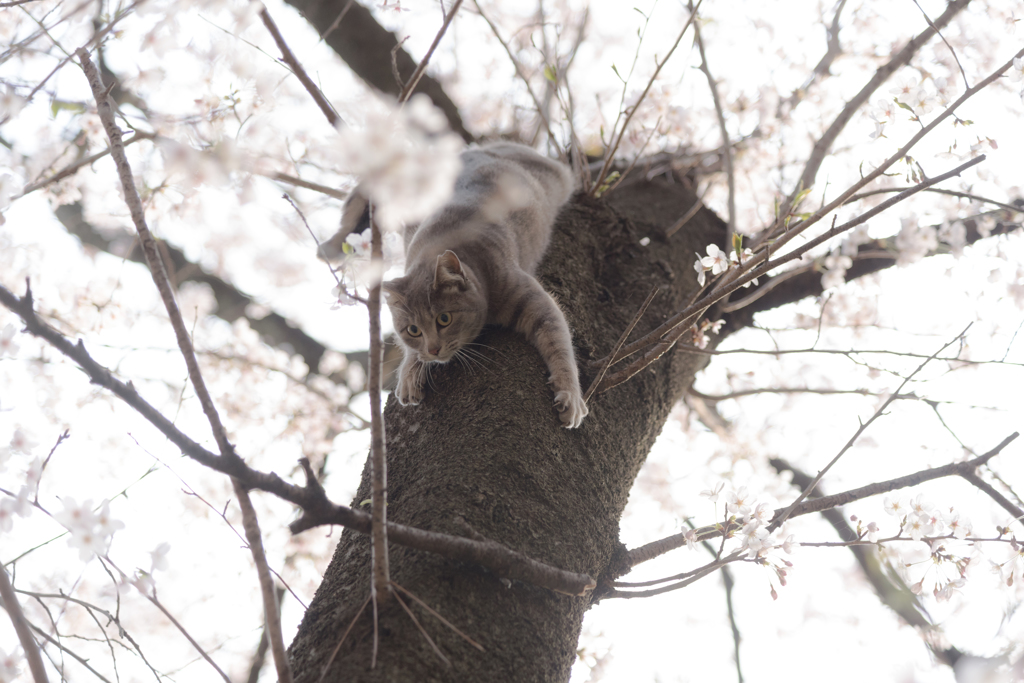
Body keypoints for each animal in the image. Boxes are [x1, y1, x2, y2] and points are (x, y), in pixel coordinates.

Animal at [323, 144, 589, 430]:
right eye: (413, 330)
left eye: (444, 319)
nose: (433, 349)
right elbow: (409, 351)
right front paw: (409, 374)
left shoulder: (538, 303)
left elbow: (560, 346)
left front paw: (570, 395)